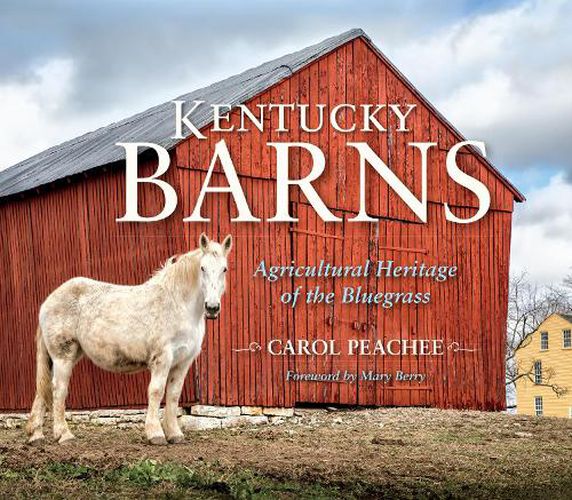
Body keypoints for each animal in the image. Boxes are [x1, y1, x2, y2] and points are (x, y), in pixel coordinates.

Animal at [26, 233, 232, 446]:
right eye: (202, 268)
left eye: (224, 268)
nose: (212, 307)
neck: (177, 304)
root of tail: (48, 301)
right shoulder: (162, 358)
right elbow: (156, 391)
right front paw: (155, 434)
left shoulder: (183, 361)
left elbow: (173, 395)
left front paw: (175, 434)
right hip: (63, 357)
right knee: (58, 390)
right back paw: (64, 435)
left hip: (59, 358)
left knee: (42, 391)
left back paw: (36, 436)